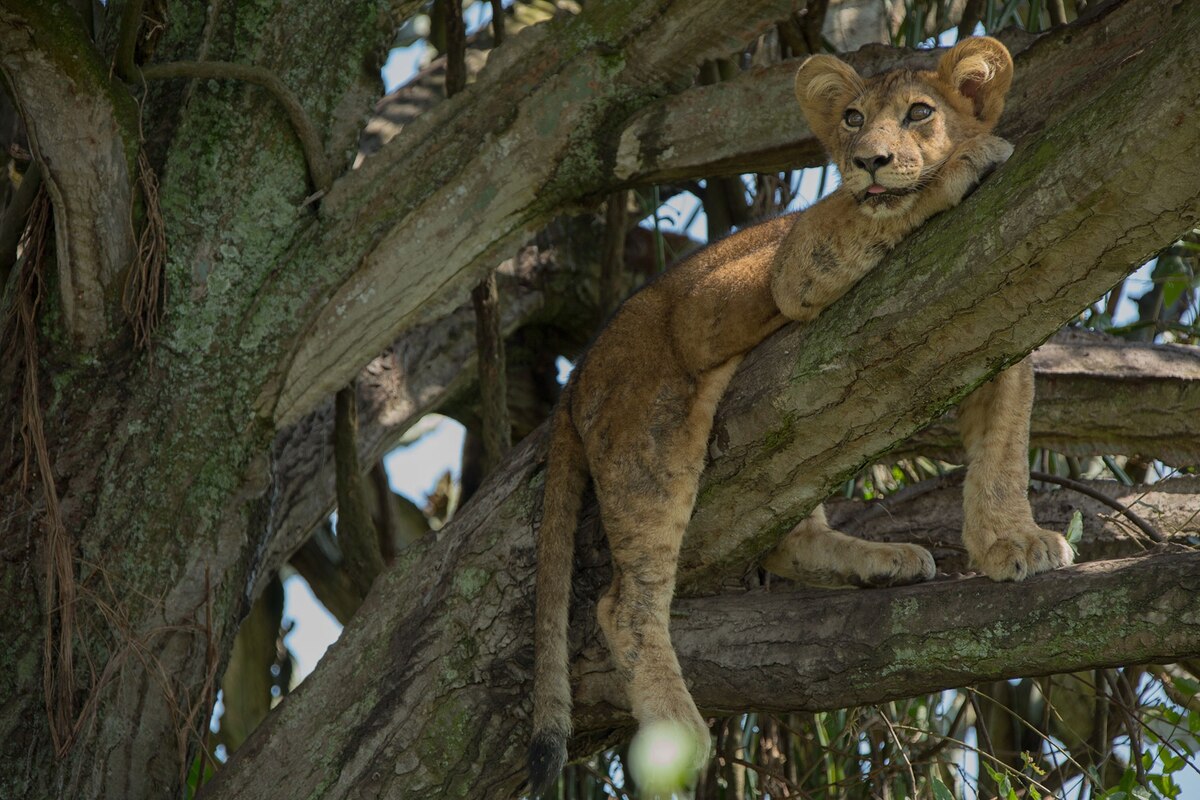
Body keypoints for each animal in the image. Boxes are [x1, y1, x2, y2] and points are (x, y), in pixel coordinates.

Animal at [528, 36, 1074, 795]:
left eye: (920, 112)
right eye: (851, 119)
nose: (868, 159)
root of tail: (581, 370)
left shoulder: (1002, 331)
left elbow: (1003, 451)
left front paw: (1011, 542)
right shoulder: (800, 262)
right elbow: (872, 214)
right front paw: (964, 164)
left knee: (790, 532)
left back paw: (882, 561)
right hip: (653, 436)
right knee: (627, 603)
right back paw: (679, 731)